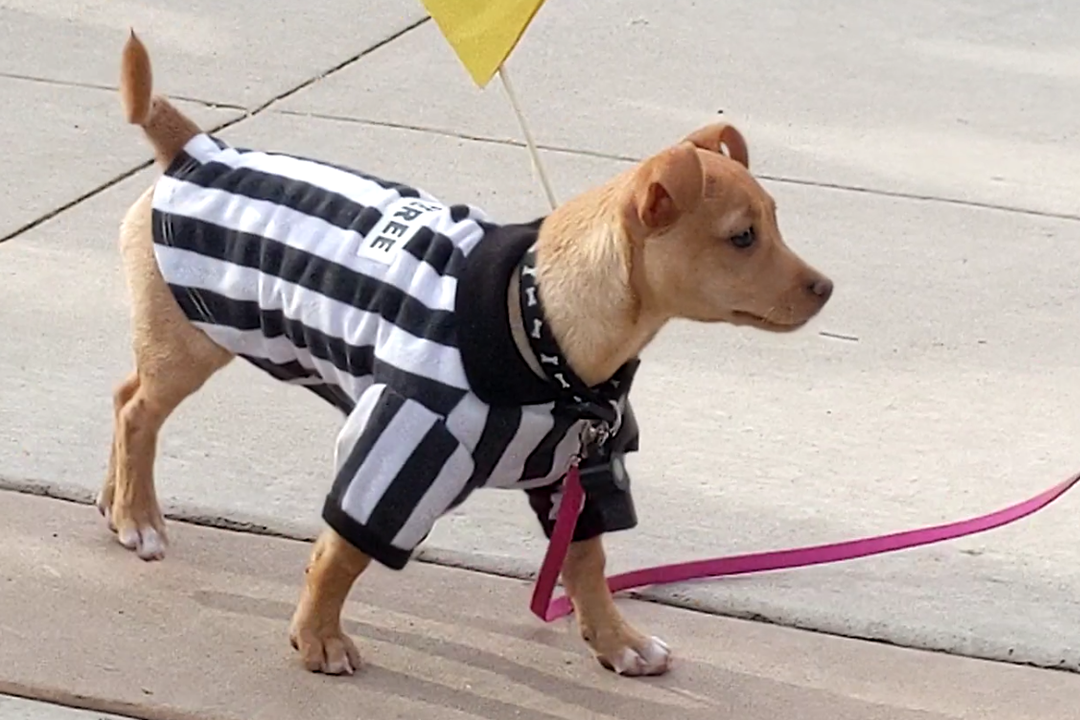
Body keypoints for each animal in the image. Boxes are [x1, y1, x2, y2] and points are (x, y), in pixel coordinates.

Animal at [101, 29, 829, 682]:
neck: (540, 325)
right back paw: (140, 517)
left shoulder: (575, 475)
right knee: (139, 415)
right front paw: (319, 638)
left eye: (775, 223)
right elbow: (341, 554)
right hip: (192, 341)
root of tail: (198, 149)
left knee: (123, 397)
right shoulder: (394, 455)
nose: (825, 288)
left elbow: (587, 565)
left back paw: (117, 505)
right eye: (742, 237)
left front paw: (618, 642)